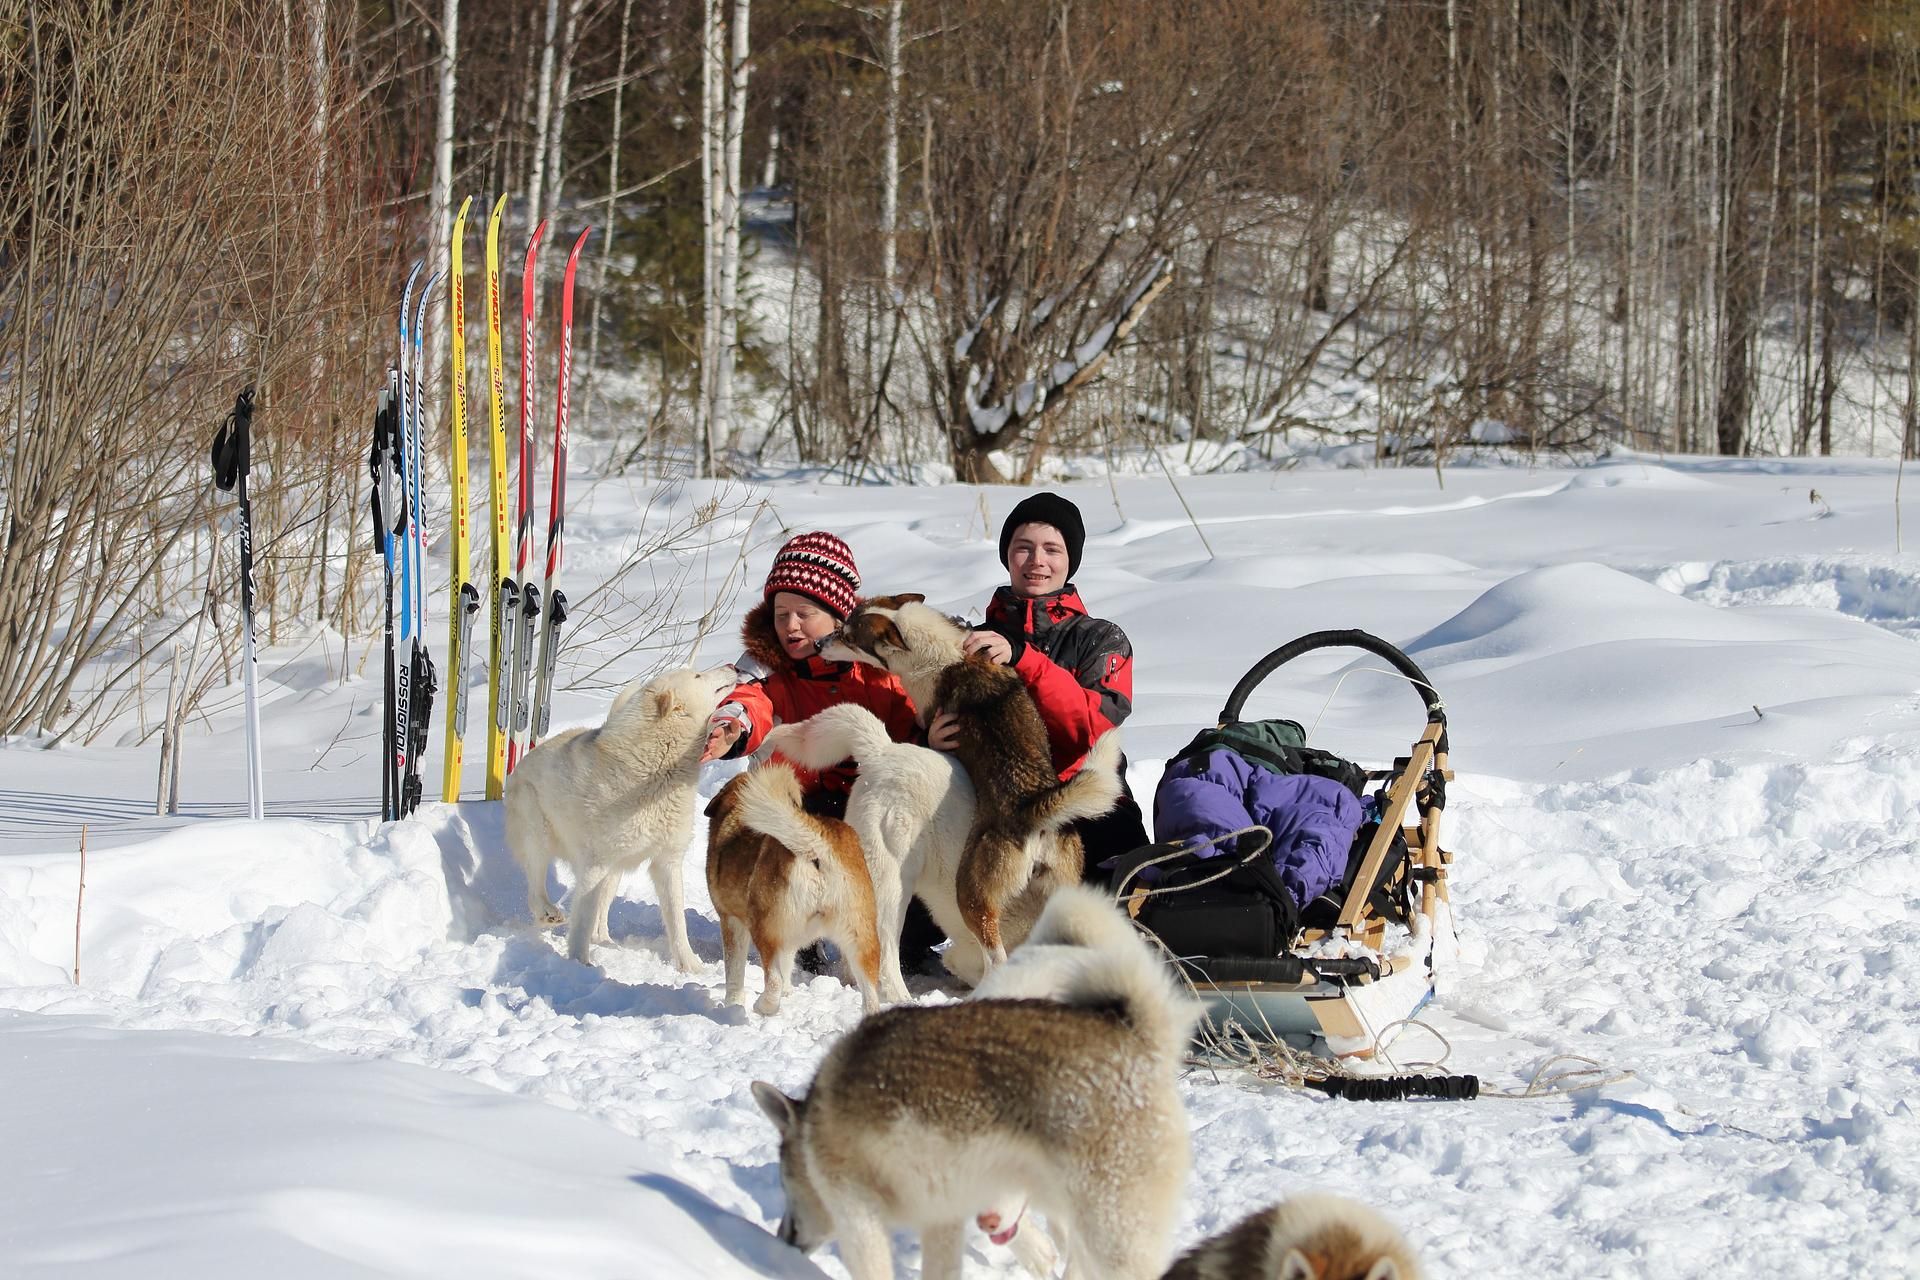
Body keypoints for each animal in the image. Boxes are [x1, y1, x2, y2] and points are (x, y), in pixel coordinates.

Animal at [506, 660, 737, 971]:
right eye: (698, 675)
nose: (733, 665)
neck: (656, 769)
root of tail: (524, 759)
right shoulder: (595, 864)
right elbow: (580, 922)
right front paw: (578, 964)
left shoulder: (667, 862)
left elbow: (677, 923)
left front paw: (690, 966)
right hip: (539, 836)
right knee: (535, 883)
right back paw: (547, 912)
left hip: (615, 868)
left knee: (600, 912)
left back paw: (604, 941)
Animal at [706, 759, 883, 1020]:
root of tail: (816, 844)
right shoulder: (791, 937)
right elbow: (788, 964)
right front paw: (789, 994)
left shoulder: (731, 921)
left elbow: (735, 973)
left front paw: (732, 1004)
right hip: (861, 937)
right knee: (871, 997)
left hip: (764, 927)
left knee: (773, 980)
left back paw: (763, 1007)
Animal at [748, 886, 1198, 1280]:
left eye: (785, 1182)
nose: (784, 1237)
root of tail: (1136, 1037)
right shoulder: (945, 1217)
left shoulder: (858, 1215)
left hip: (1109, 1224)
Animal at [821, 602, 1121, 971]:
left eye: (848, 637)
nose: (819, 644)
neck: (944, 654)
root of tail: (1032, 808)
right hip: (1063, 887)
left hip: (972, 894)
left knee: (993, 951)